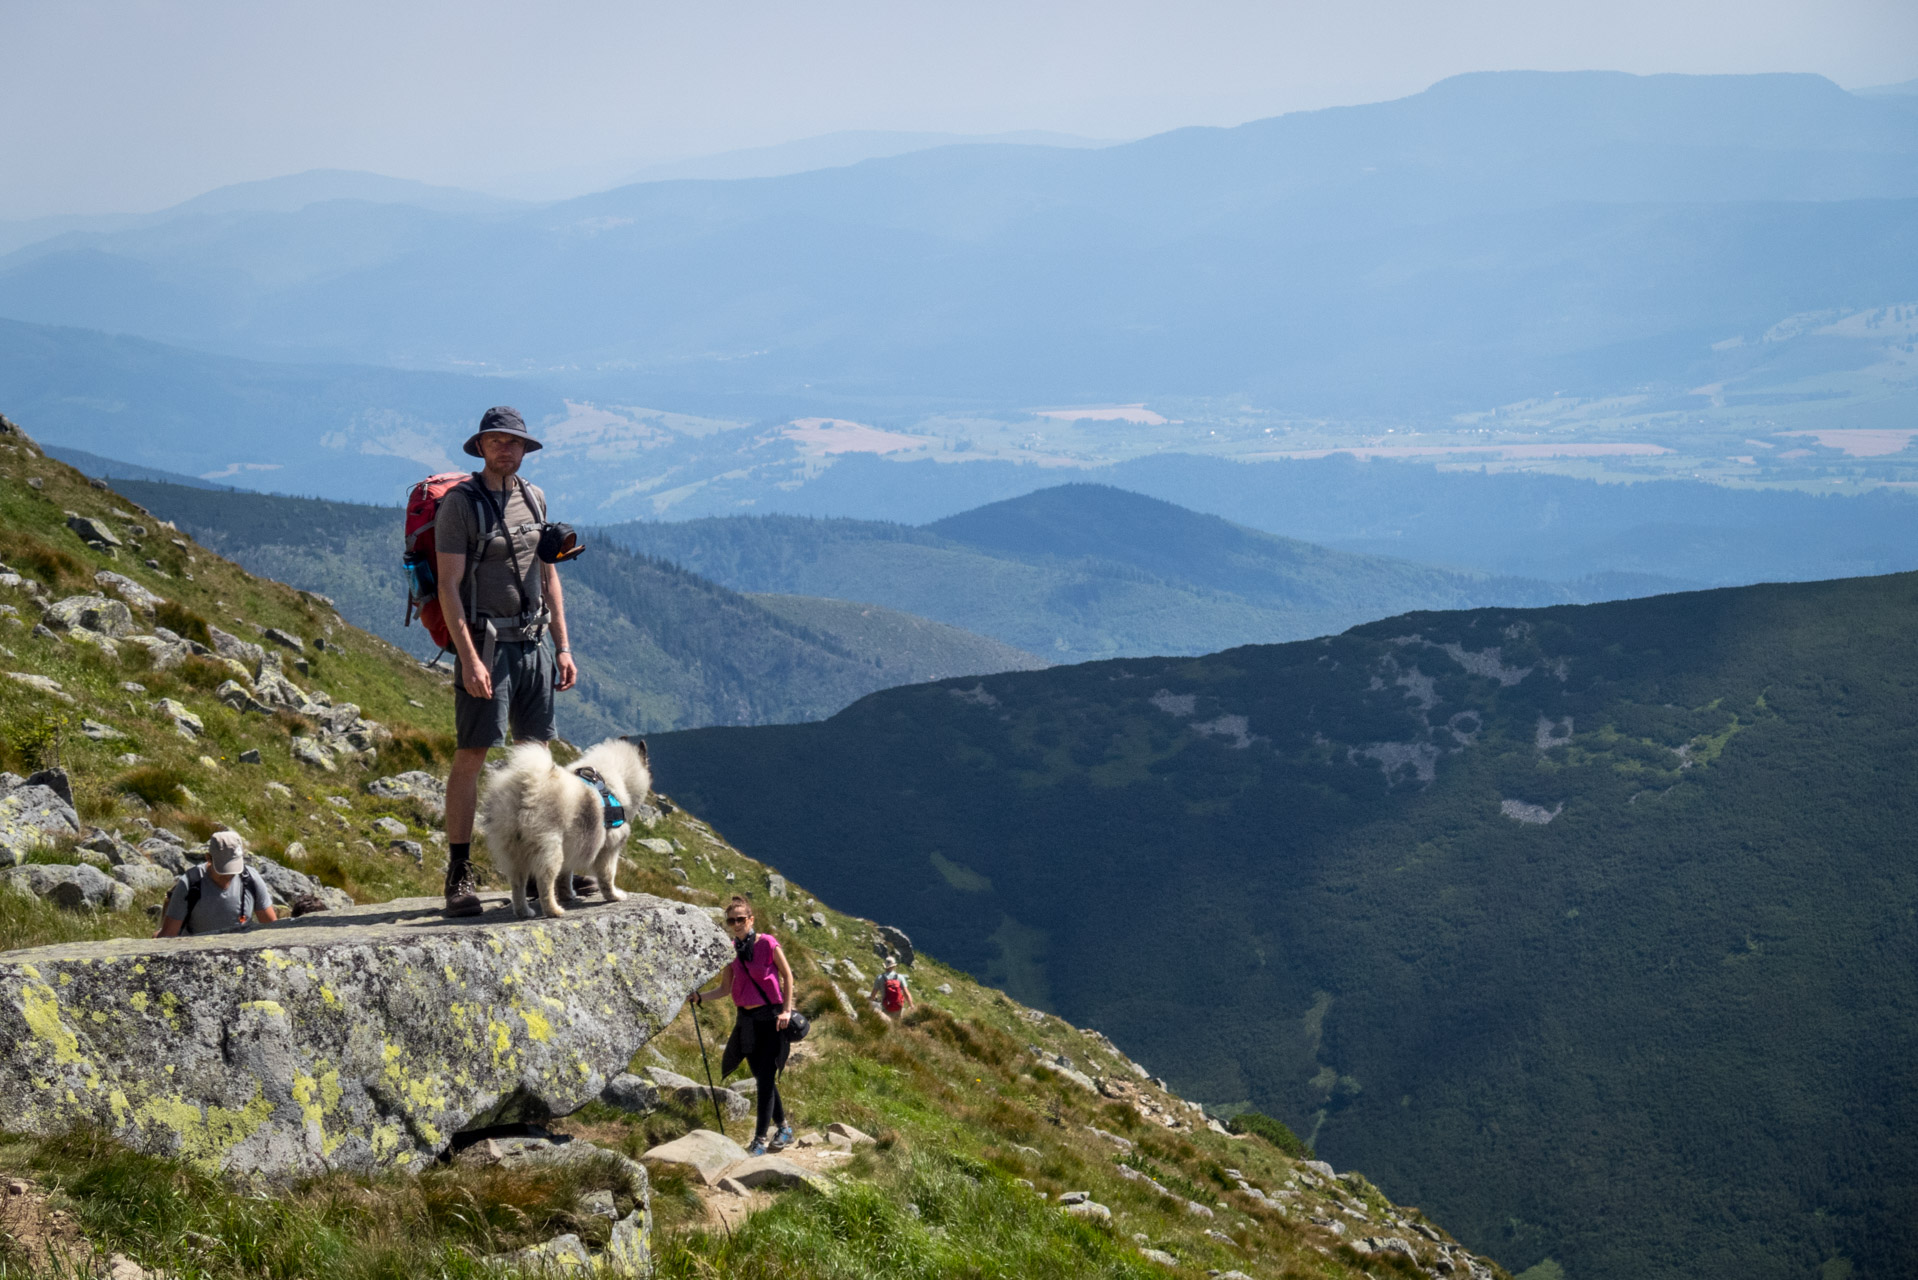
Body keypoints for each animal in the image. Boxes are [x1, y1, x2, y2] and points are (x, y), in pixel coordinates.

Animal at [477, 729, 652, 921]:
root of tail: (526, 786)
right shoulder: (609, 848)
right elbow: (607, 875)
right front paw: (614, 896)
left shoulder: (572, 846)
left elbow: (565, 876)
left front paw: (568, 894)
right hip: (549, 848)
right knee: (544, 883)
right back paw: (554, 910)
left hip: (514, 851)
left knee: (517, 884)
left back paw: (524, 911)